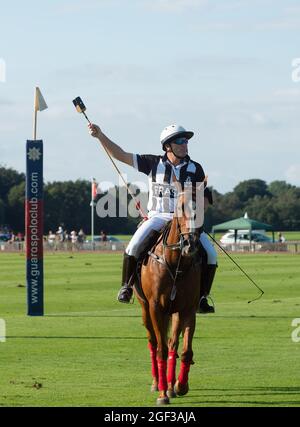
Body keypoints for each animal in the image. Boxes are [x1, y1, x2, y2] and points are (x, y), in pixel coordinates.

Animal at [136, 186, 204, 404]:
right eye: (181, 207)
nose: (190, 244)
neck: (175, 263)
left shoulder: (188, 309)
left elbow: (185, 350)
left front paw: (180, 386)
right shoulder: (156, 307)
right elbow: (161, 350)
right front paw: (162, 394)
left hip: (173, 312)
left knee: (173, 343)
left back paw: (171, 383)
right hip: (145, 308)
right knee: (154, 342)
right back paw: (157, 382)